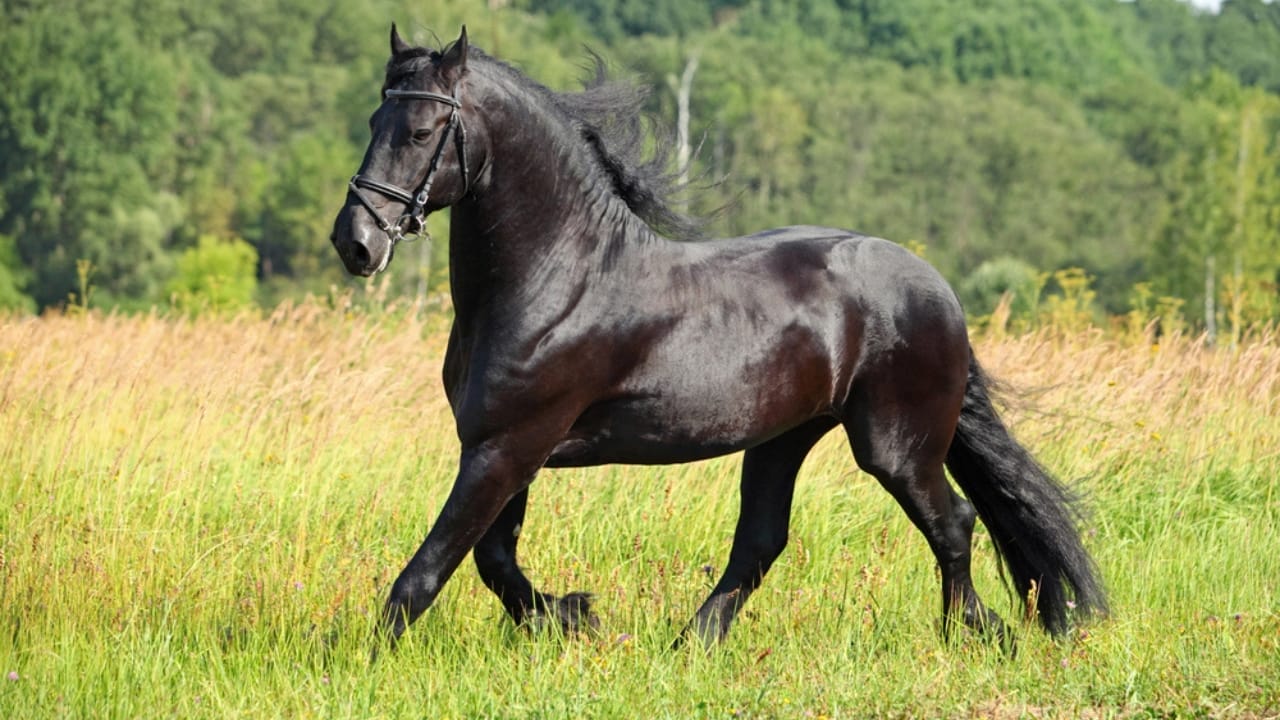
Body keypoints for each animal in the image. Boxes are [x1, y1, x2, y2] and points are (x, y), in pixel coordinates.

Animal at [328, 25, 1106, 650]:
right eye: (372, 118)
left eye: (422, 131)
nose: (355, 243)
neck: (558, 279)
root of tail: (936, 287)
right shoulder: (501, 447)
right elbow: (494, 561)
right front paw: (572, 616)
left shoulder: (510, 446)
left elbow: (428, 571)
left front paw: (368, 660)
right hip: (783, 438)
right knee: (761, 542)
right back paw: (691, 644)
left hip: (895, 446)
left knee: (954, 523)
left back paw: (973, 633)